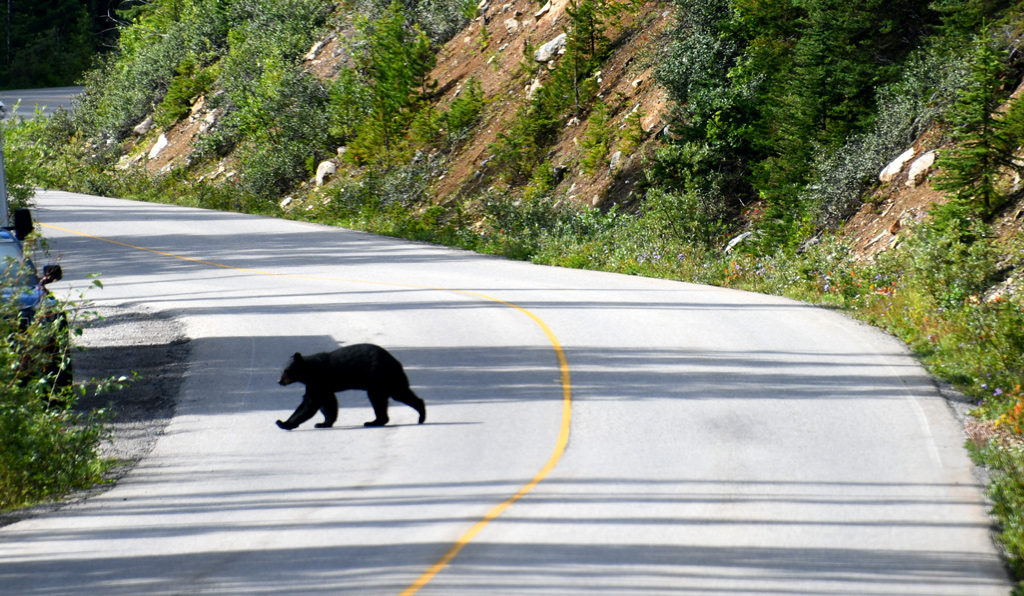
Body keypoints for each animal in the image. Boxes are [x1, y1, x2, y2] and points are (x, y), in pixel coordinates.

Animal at [274, 344, 425, 432]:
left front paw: (283, 423)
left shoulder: (319, 380)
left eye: (286, 371)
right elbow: (328, 403)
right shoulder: (322, 385)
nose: (279, 381)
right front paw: (324, 423)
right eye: (281, 371)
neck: (309, 371)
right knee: (391, 396)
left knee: (391, 395)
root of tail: (397, 362)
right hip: (385, 381)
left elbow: (310, 403)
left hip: (380, 378)